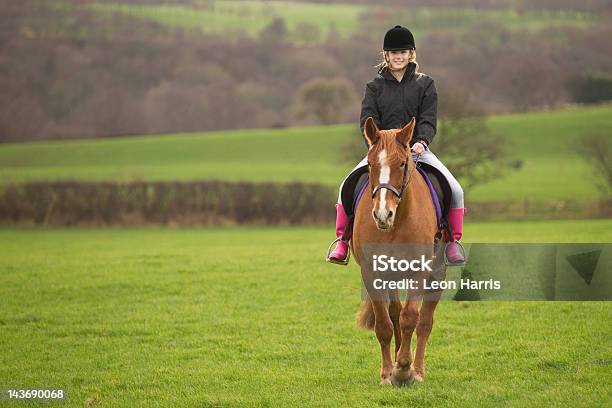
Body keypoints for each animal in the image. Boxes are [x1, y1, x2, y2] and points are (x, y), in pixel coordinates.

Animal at [352, 115, 442, 386]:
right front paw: (387, 373)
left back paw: (418, 370)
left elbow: (411, 317)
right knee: (394, 314)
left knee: (424, 321)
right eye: (370, 164)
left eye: (402, 164)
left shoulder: (420, 270)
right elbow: (384, 324)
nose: (383, 214)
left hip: (438, 272)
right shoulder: (372, 273)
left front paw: (404, 369)